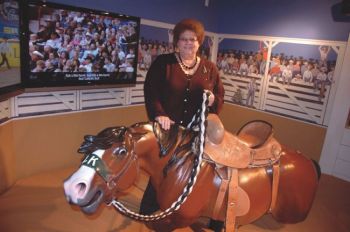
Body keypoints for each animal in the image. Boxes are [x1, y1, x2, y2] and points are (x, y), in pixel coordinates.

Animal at [63, 112, 320, 230]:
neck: (183, 166)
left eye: (120, 152)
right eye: (88, 149)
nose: (74, 188)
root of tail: (308, 160)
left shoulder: (173, 221)